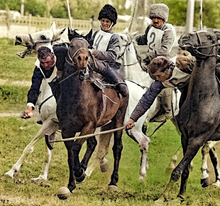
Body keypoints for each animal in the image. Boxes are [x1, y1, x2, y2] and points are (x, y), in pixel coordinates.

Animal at [159, 30, 220, 201]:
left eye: (209, 37)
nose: (185, 37)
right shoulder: (186, 137)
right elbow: (184, 169)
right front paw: (181, 195)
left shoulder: (198, 139)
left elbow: (178, 170)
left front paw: (163, 196)